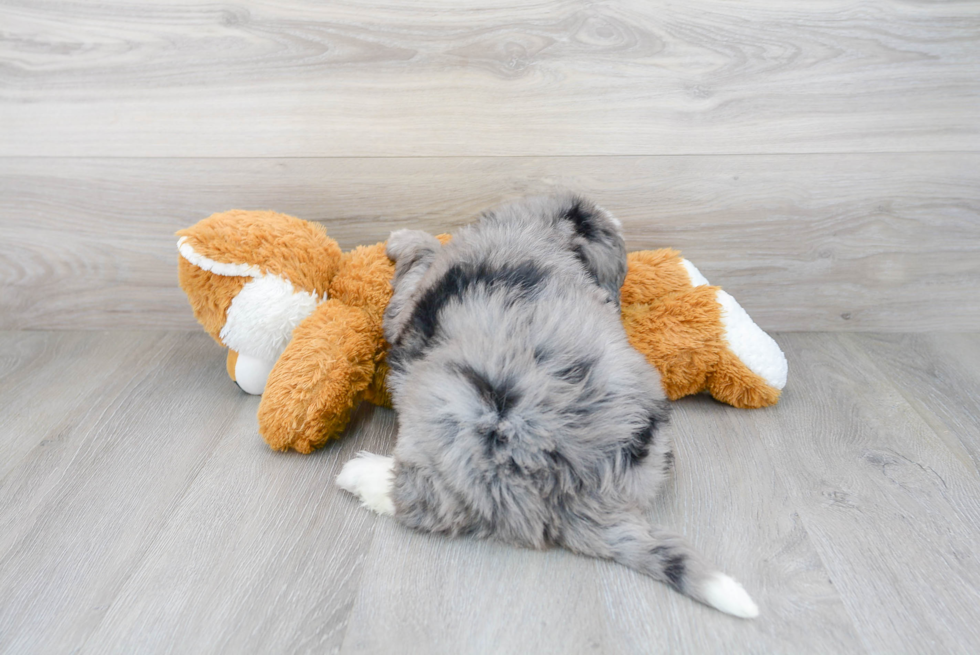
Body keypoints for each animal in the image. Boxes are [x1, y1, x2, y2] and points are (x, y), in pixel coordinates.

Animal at [336, 192, 756, 616]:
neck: (540, 231)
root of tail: (581, 494)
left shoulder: (411, 298)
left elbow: (421, 255)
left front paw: (401, 238)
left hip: (454, 406)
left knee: (428, 501)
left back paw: (362, 475)